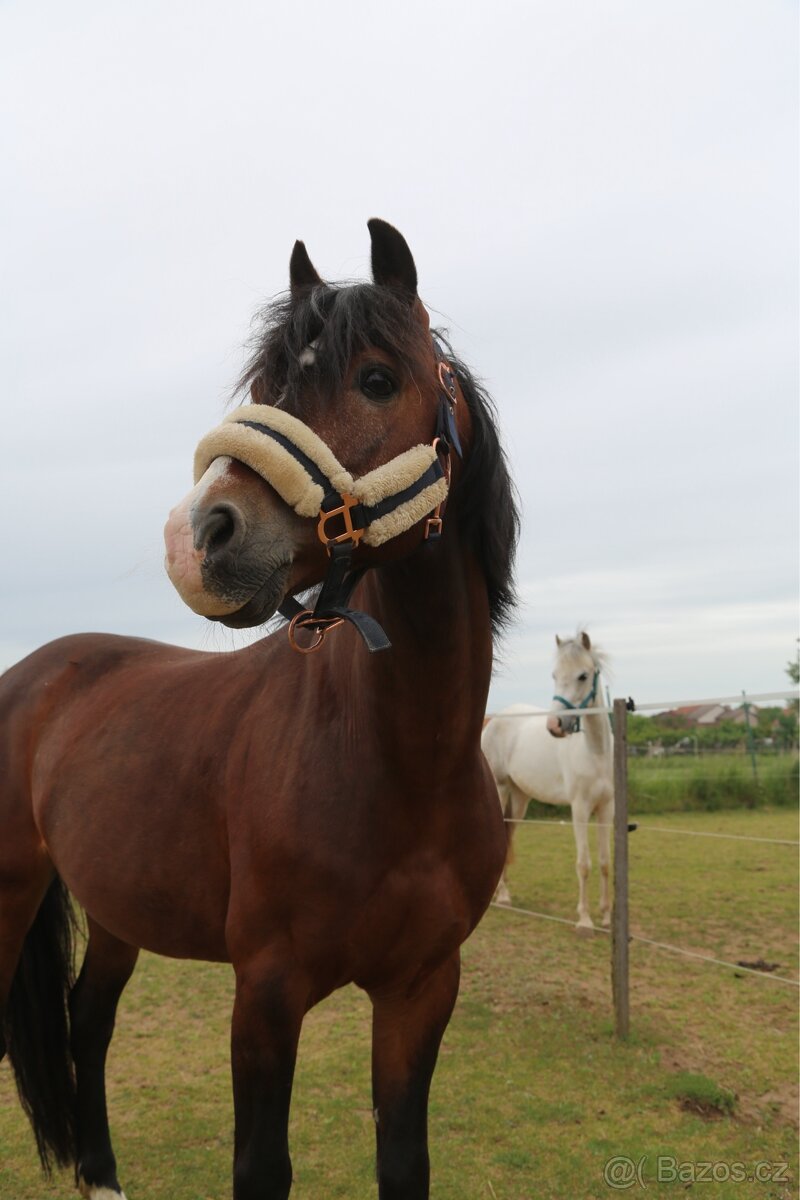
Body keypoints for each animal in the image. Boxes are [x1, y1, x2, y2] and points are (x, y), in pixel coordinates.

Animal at [0, 219, 519, 1200]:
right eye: (263, 389)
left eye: (377, 379)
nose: (198, 536)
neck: (402, 766)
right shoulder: (267, 992)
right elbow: (261, 1168)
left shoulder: (422, 990)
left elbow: (405, 1164)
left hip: (118, 907)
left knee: (89, 1021)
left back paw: (101, 1174)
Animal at [481, 632, 613, 932]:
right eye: (554, 675)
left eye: (583, 675)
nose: (555, 725)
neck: (595, 752)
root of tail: (493, 720)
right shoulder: (579, 809)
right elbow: (584, 863)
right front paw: (584, 920)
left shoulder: (606, 808)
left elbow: (604, 863)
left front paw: (607, 917)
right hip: (501, 789)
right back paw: (500, 897)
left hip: (520, 798)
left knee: (508, 836)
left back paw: (503, 895)